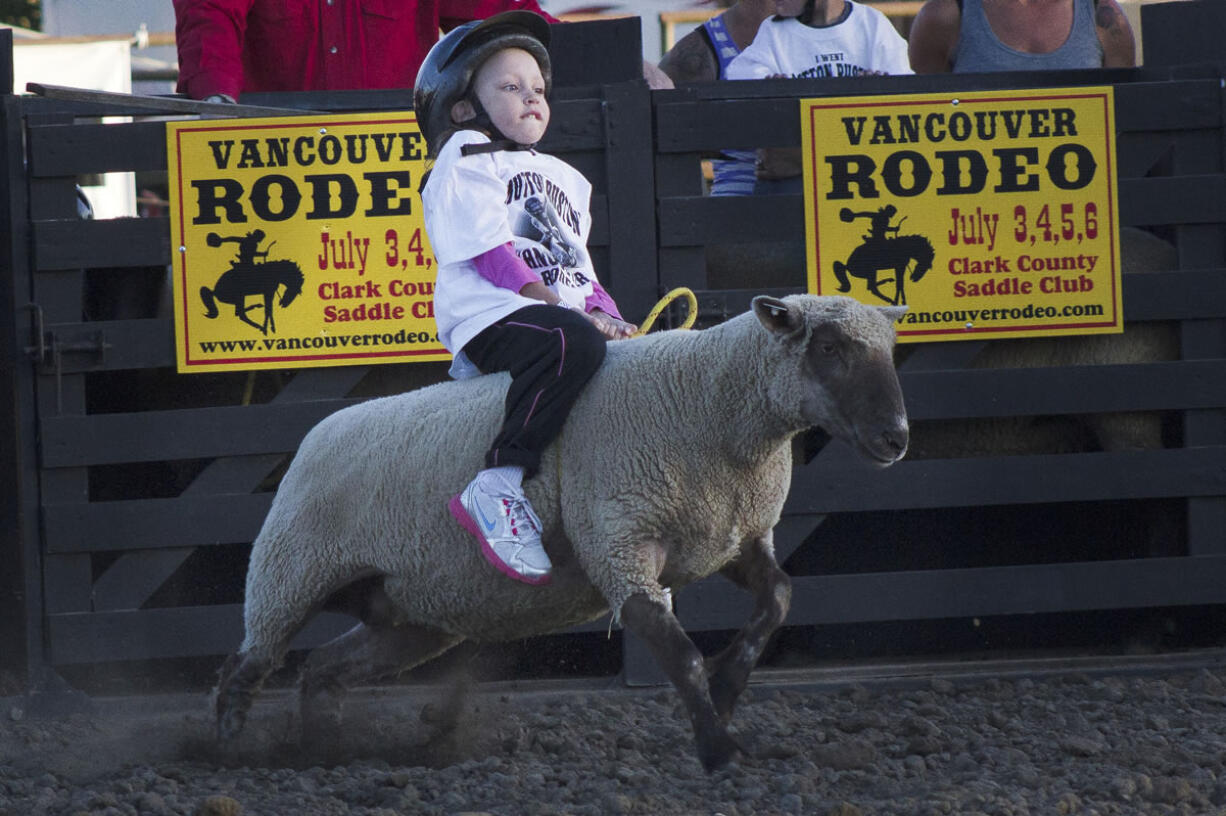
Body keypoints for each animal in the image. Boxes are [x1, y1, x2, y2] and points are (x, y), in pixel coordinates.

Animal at [215, 292, 917, 769]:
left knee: (323, 671)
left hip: (411, 614)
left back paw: (321, 751)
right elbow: (678, 652)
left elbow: (778, 600)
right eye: (828, 348)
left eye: (888, 350)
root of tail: (315, 435)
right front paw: (717, 748)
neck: (707, 402)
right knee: (246, 666)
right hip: (289, 572)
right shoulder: (619, 538)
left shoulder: (732, 539)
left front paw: (724, 694)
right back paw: (225, 749)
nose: (896, 439)